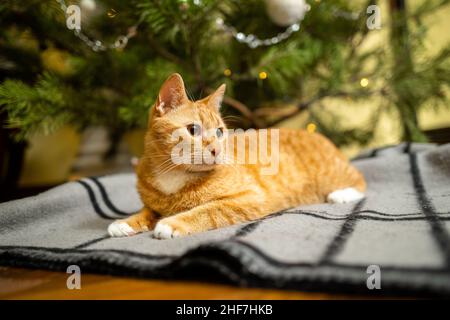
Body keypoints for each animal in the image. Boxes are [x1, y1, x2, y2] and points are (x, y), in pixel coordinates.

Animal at [109, 72, 366, 238]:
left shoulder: (248, 198)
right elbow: (145, 211)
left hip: (333, 174)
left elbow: (207, 210)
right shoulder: (153, 204)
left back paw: (341, 195)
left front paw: (173, 223)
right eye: (193, 130)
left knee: (361, 182)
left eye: (219, 131)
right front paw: (125, 222)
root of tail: (318, 135)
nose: (215, 149)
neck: (174, 176)